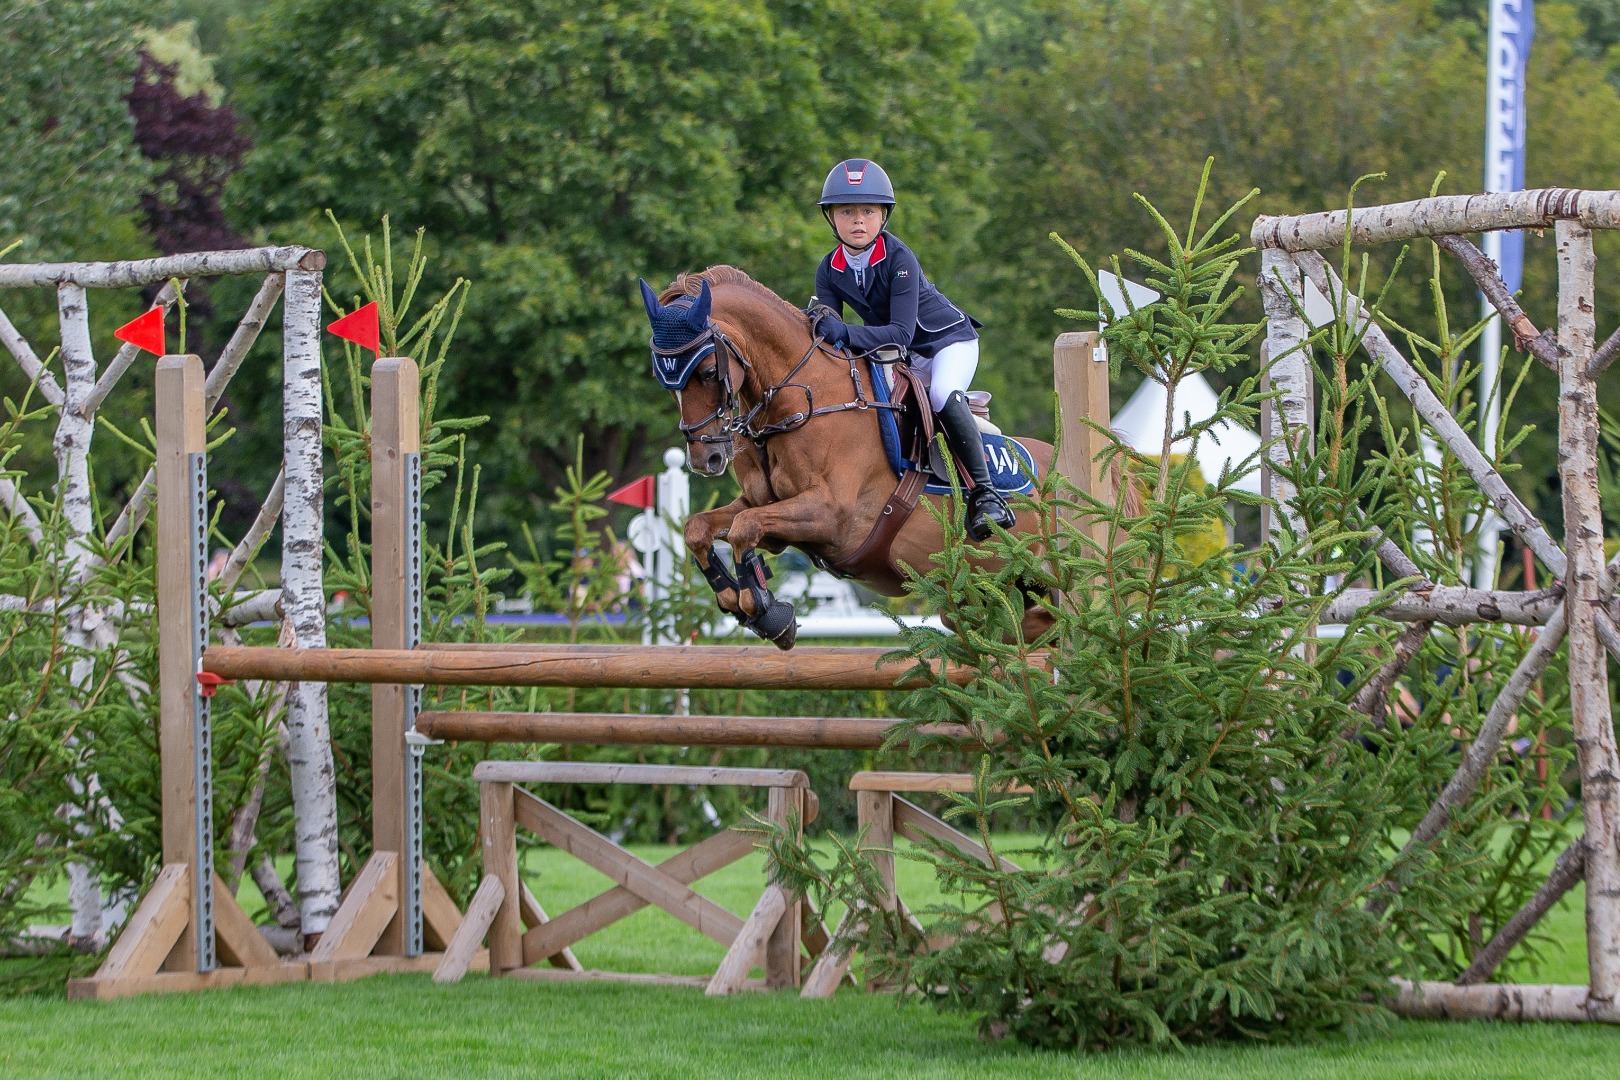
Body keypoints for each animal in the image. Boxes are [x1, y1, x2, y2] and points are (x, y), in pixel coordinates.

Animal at [638, 266, 1057, 649]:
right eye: (664, 379)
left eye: (710, 371)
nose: (705, 457)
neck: (802, 401)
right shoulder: (764, 510)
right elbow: (701, 528)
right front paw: (740, 603)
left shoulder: (830, 514)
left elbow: (743, 528)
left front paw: (769, 615)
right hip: (990, 591)